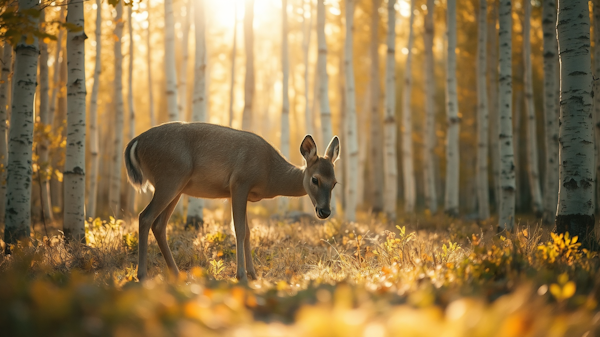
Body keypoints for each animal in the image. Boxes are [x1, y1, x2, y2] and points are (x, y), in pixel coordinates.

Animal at [124, 121, 340, 280]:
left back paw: (176, 274)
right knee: (145, 217)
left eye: (335, 182)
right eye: (315, 179)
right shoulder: (239, 183)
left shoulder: (239, 193)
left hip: (176, 186)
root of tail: (136, 141)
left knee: (159, 224)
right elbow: (239, 230)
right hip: (169, 177)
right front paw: (241, 275)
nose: (325, 211)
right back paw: (142, 275)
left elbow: (248, 232)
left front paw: (253, 274)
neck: (269, 175)